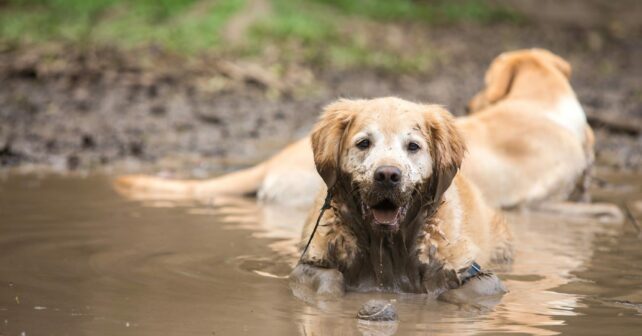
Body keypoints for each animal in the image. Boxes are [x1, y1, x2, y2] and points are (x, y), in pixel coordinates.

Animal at [288, 98, 510, 300]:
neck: (387, 246)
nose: (387, 175)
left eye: (413, 146)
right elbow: (330, 278)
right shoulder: (308, 264)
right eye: (364, 143)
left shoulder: (474, 273)